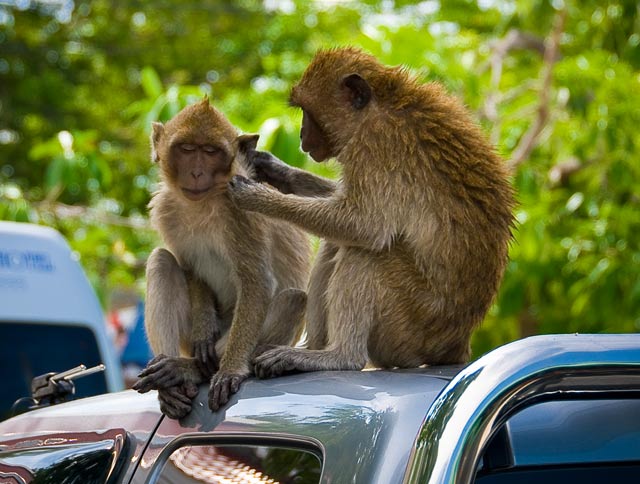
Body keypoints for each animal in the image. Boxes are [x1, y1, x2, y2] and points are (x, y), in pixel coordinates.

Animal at [133, 99, 310, 416]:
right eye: (187, 149)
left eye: (211, 151)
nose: (196, 173)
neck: (204, 203)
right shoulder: (165, 209)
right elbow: (189, 268)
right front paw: (204, 329)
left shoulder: (241, 209)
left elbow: (257, 282)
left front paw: (229, 371)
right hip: (185, 339)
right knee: (161, 261)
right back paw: (171, 385)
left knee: (293, 299)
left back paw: (187, 369)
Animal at [229, 47, 516, 376]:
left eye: (308, 113)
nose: (301, 135)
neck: (384, 102)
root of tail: (456, 346)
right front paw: (276, 171)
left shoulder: (377, 144)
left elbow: (365, 226)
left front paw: (257, 197)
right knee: (337, 244)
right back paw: (311, 348)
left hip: (411, 328)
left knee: (366, 254)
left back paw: (338, 356)